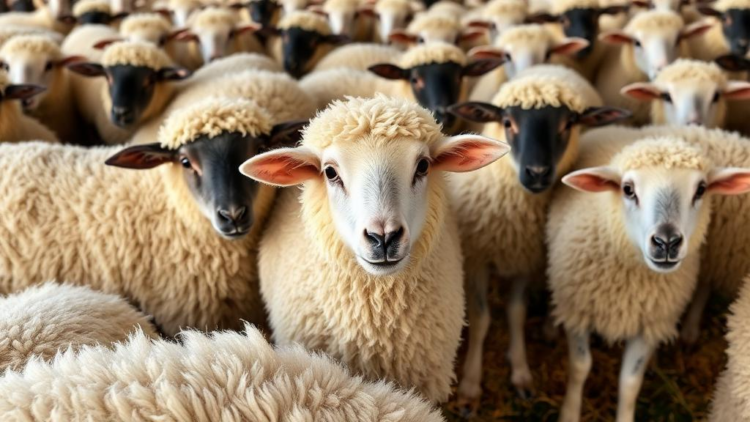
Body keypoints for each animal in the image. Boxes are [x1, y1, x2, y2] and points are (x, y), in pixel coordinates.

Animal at [446, 65, 630, 406]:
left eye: (568, 124)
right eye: (507, 122)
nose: (537, 173)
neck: (513, 220)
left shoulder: (526, 260)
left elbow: (516, 313)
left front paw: (520, 371)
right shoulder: (477, 259)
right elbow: (481, 319)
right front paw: (470, 385)